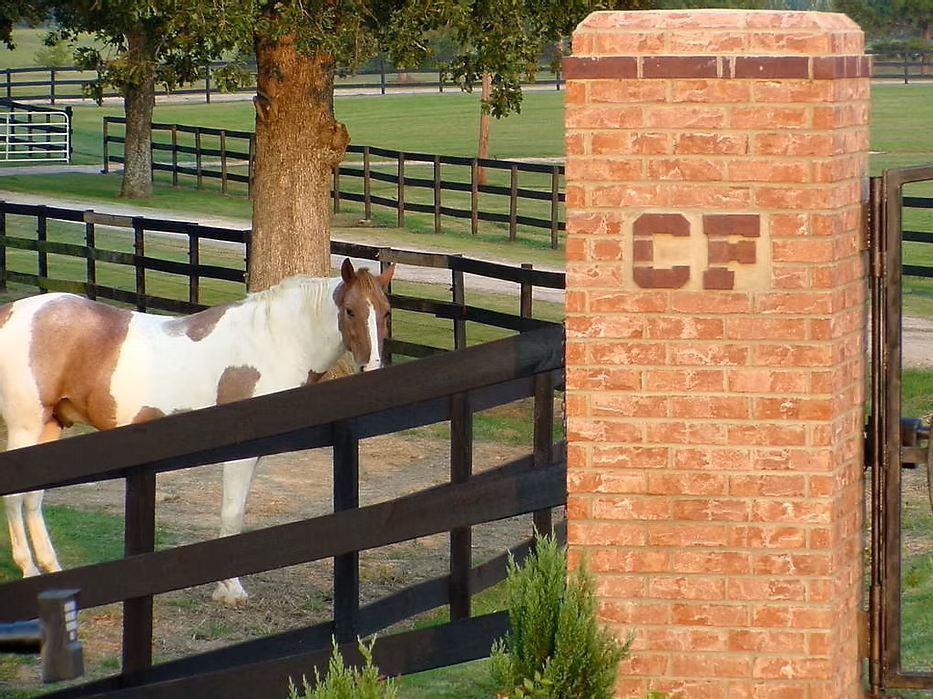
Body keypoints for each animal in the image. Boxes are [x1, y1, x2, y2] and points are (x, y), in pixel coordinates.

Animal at [0, 257, 394, 605]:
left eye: (386, 312)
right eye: (350, 311)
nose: (373, 369)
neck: (273, 342)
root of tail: (12, 313)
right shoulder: (240, 453)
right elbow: (232, 513)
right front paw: (229, 589)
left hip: (51, 427)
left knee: (33, 498)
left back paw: (51, 570)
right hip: (25, 427)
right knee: (15, 498)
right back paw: (29, 570)